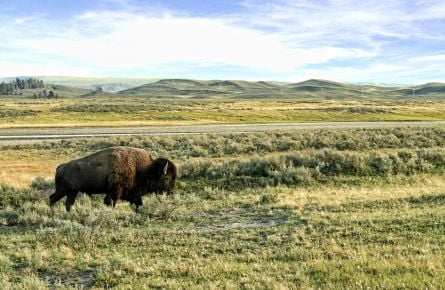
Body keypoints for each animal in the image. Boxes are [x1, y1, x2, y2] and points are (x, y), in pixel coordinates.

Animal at [49, 147, 177, 211]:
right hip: (64, 190)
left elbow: (138, 203)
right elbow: (111, 202)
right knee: (53, 198)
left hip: (72, 192)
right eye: (166, 178)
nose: (170, 192)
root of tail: (61, 167)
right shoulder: (115, 191)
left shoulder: (134, 194)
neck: (143, 168)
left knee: (68, 203)